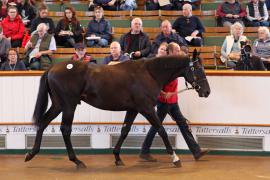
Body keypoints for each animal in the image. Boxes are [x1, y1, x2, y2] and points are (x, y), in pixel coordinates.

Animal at [24, 51, 211, 169]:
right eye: (198, 68)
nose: (206, 91)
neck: (149, 73)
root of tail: (52, 68)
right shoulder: (147, 108)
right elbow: (161, 130)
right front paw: (175, 158)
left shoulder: (133, 109)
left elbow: (124, 131)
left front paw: (117, 157)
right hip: (69, 106)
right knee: (65, 129)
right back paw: (76, 161)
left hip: (58, 105)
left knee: (43, 123)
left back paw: (31, 154)